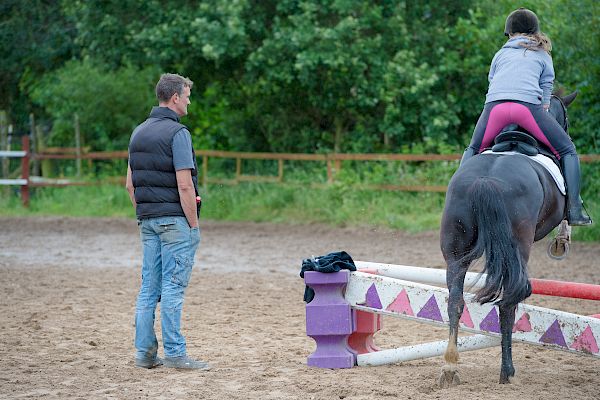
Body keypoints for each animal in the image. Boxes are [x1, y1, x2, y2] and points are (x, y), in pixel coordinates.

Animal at [438, 92, 576, 386]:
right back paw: (507, 371)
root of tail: (485, 181)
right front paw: (562, 241)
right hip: (516, 252)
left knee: (455, 301)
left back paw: (450, 367)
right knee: (508, 302)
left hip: (455, 253)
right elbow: (569, 212)